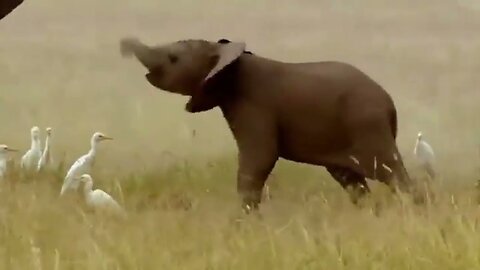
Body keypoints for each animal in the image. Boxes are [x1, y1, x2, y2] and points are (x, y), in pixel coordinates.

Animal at [120, 37, 412, 212]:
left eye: (173, 58)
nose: (124, 44)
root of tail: (390, 104)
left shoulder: (255, 106)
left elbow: (260, 158)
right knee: (351, 181)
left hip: (367, 125)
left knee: (391, 173)